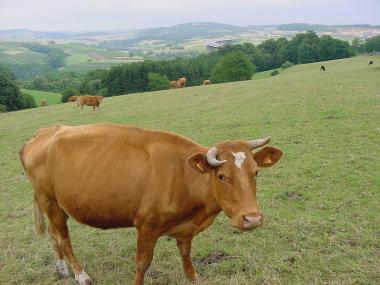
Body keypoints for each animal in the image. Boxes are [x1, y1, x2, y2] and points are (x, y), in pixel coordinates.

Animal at [20, 124, 282, 284]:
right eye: (222, 176)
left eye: (256, 172)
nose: (252, 218)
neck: (183, 175)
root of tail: (43, 133)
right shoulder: (146, 225)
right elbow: (142, 263)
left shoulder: (185, 229)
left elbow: (186, 255)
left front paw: (193, 277)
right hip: (49, 200)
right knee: (63, 238)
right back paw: (80, 275)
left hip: (54, 204)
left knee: (54, 235)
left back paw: (61, 269)